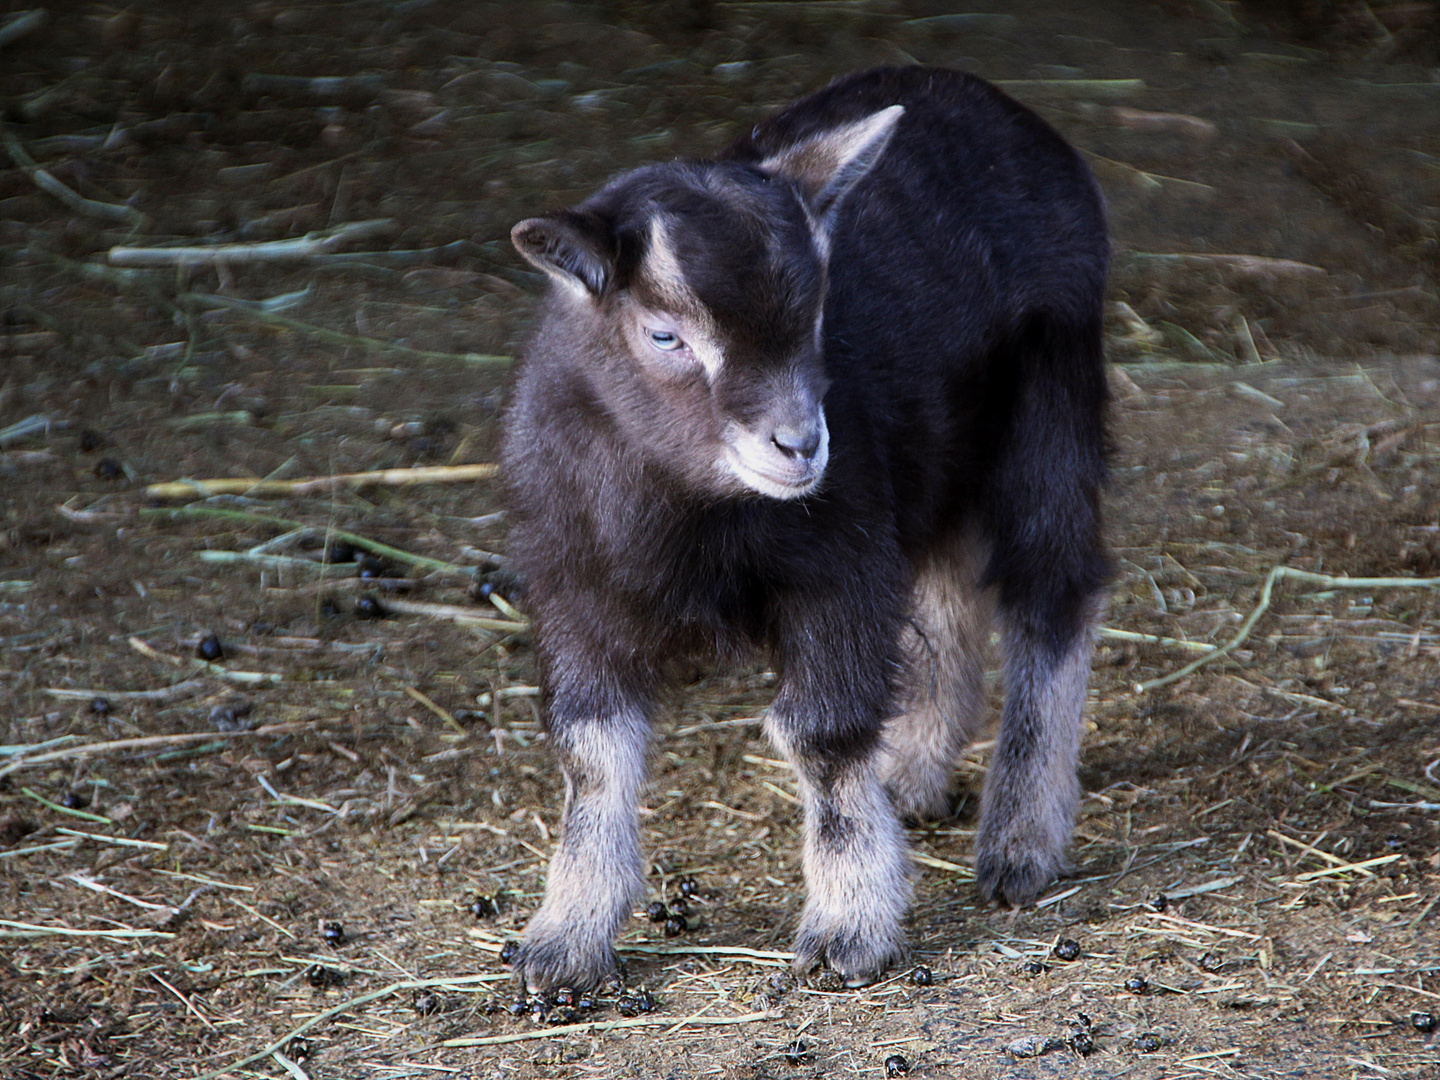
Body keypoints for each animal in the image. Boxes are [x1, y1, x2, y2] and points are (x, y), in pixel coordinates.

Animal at [501, 67, 1105, 996]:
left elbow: (820, 734)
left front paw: (850, 925)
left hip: (1052, 391)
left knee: (1053, 590)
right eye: (664, 334)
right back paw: (915, 772)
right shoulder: (575, 590)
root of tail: (987, 100)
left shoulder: (839, 565)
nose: (801, 444)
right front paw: (565, 937)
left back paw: (1020, 840)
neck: (686, 510)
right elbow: (590, 755)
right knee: (946, 583)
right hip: (934, 454)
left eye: (817, 316)